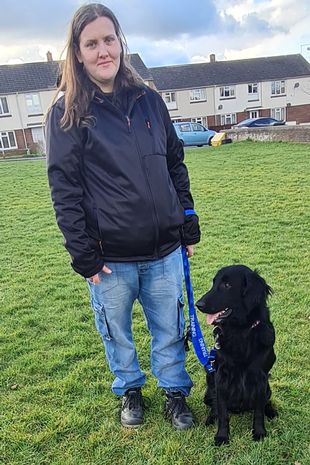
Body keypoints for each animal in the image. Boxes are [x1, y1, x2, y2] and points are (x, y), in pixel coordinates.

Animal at [195, 262, 278, 444]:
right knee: (214, 406)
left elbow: (259, 411)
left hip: (268, 388)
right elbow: (222, 412)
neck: (240, 332)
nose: (198, 304)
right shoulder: (221, 377)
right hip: (209, 385)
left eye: (227, 285)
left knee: (266, 402)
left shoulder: (261, 377)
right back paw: (211, 418)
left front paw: (259, 432)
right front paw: (221, 436)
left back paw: (272, 411)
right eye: (214, 283)